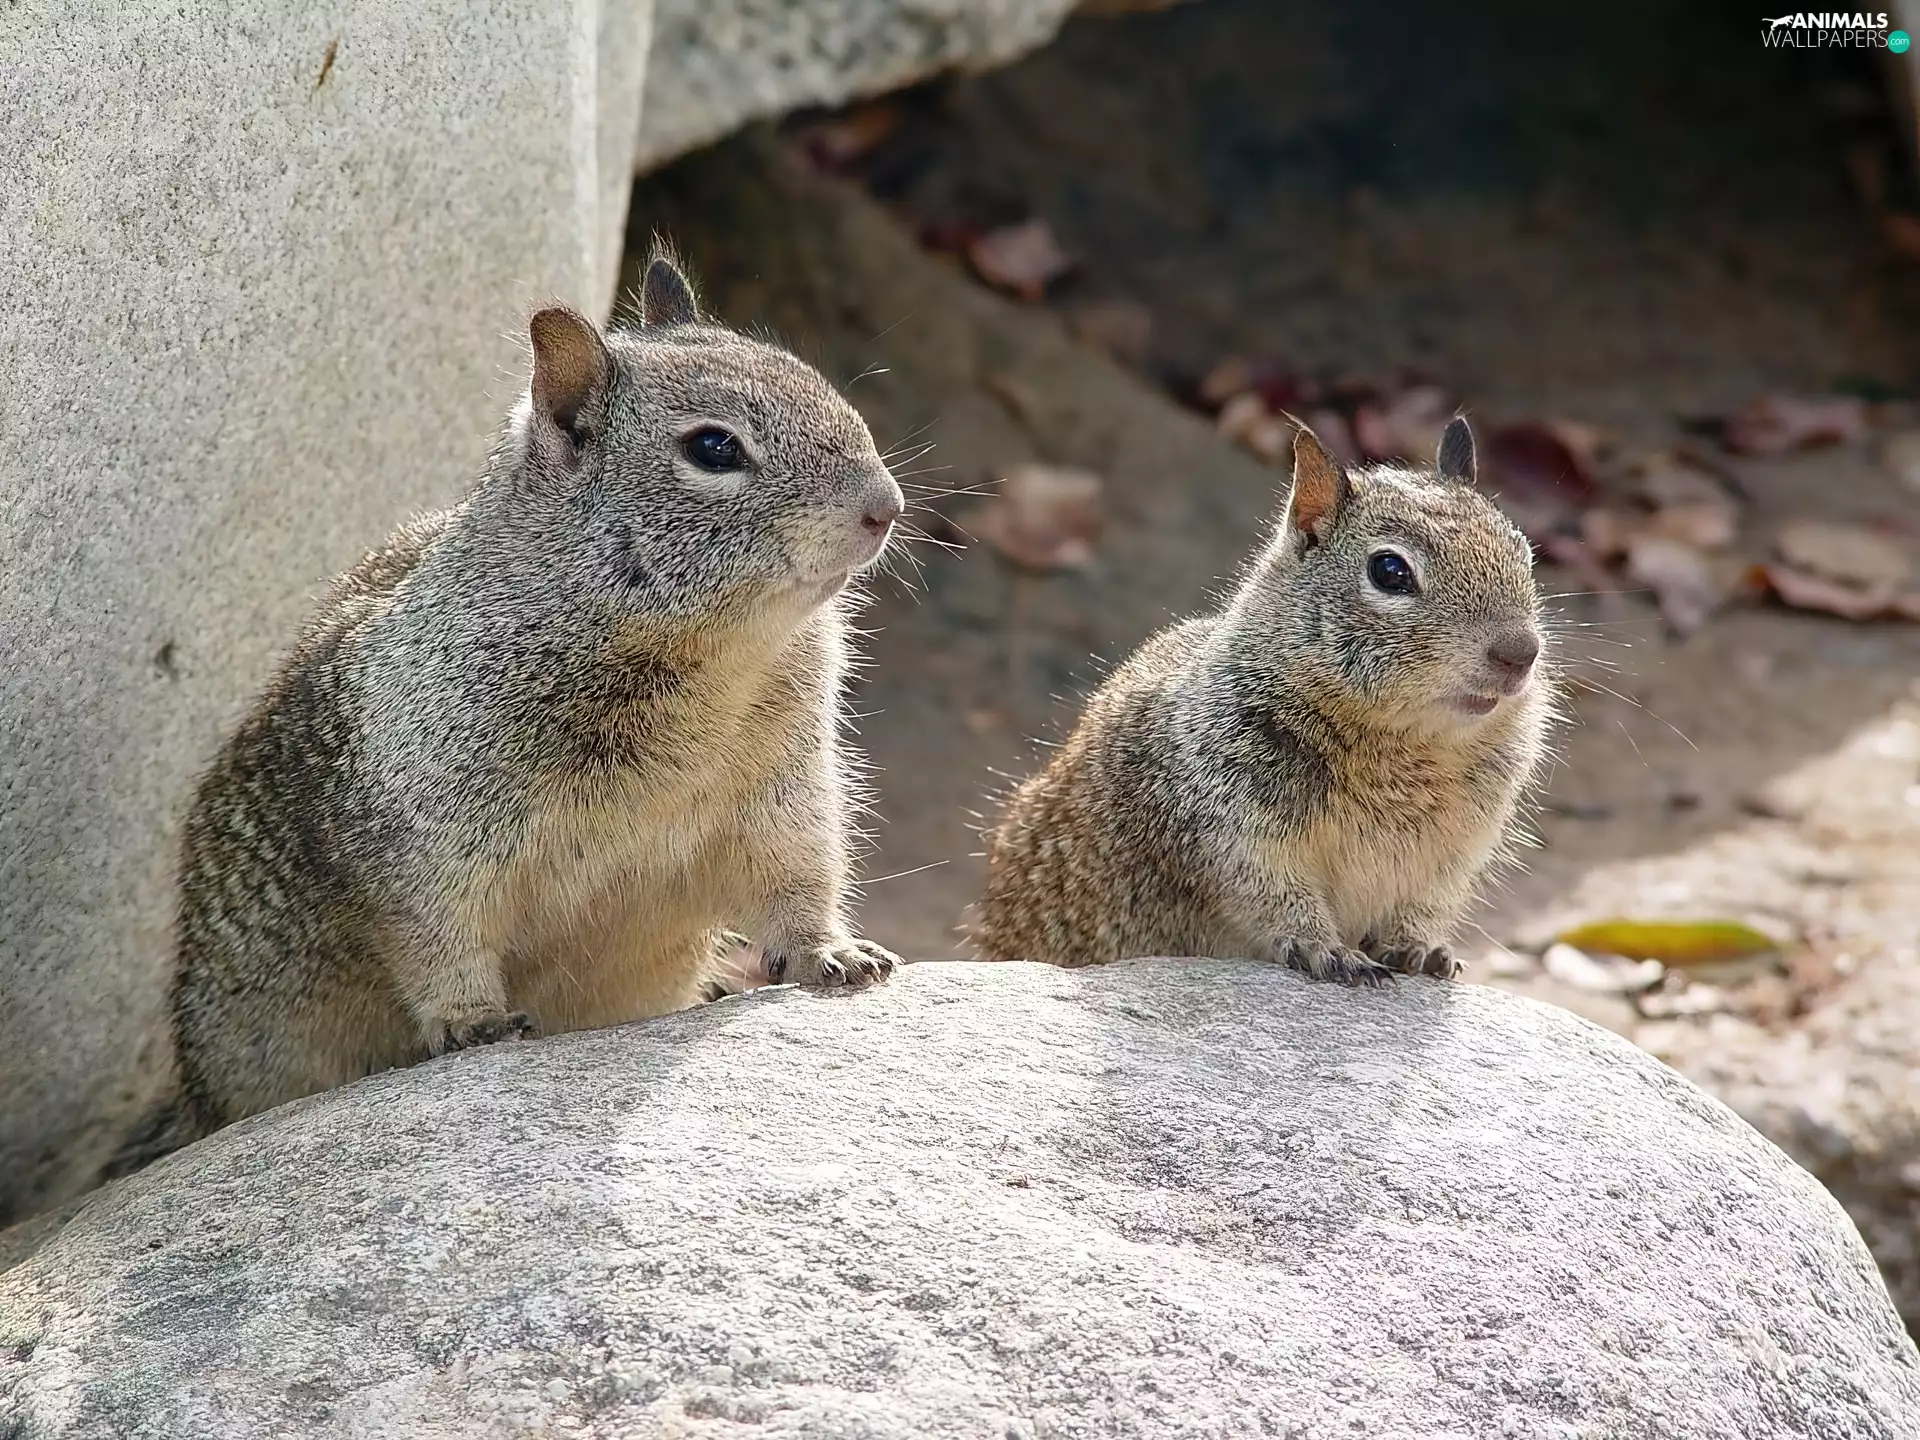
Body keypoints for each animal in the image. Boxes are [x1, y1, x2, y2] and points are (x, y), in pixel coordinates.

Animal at [110, 251, 905, 1169]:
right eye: (714, 448)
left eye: (812, 379)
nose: (886, 507)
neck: (708, 660)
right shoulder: (425, 828)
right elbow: (436, 933)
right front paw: (472, 1021)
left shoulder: (784, 787)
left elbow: (796, 878)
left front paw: (833, 952)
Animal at [969, 416, 1552, 985]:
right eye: (1390, 571)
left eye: (1524, 553)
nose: (1520, 653)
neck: (1407, 745)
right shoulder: (1229, 827)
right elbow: (1272, 898)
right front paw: (1325, 949)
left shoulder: (1456, 854)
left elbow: (1427, 907)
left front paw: (1421, 948)